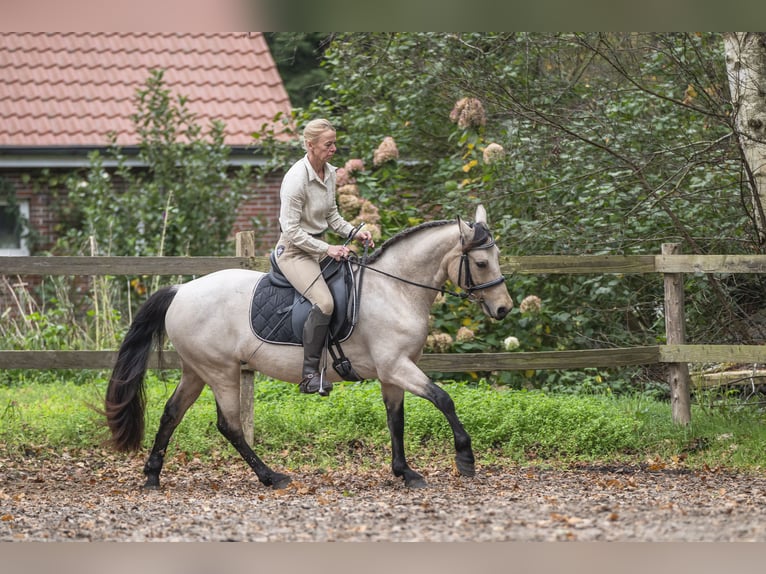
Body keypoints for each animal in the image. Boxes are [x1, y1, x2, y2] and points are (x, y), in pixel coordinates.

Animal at [106, 205, 516, 488]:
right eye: (481, 262)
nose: (503, 309)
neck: (395, 289)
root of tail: (180, 290)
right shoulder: (397, 366)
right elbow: (443, 399)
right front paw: (465, 457)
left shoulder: (392, 373)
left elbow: (396, 420)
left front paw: (405, 472)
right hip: (220, 370)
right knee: (230, 425)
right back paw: (271, 477)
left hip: (196, 369)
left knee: (171, 414)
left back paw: (152, 476)